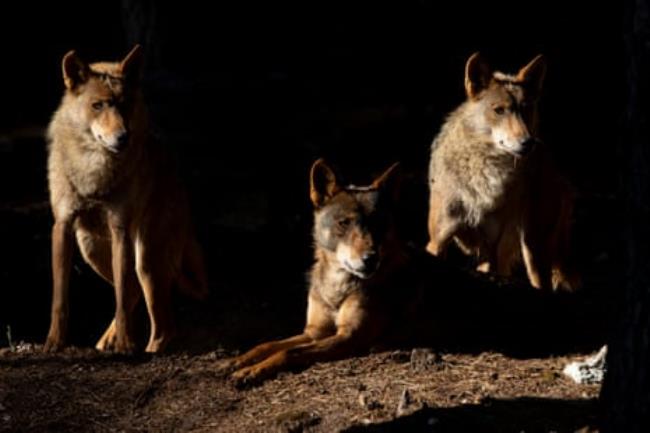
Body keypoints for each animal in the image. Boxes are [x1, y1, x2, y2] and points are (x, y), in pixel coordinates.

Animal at [44, 45, 207, 354]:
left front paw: (125, 345)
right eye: (98, 105)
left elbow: (120, 299)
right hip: (91, 249)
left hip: (145, 259)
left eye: (125, 104)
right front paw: (54, 343)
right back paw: (106, 341)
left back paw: (144, 348)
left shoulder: (119, 229)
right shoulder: (62, 226)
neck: (93, 169)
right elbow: (60, 299)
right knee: (134, 294)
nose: (123, 137)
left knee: (160, 321)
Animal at [426, 52, 578, 291]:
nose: (528, 143)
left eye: (526, 109)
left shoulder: (490, 246)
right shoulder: (437, 241)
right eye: (499, 110)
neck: (484, 168)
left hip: (533, 251)